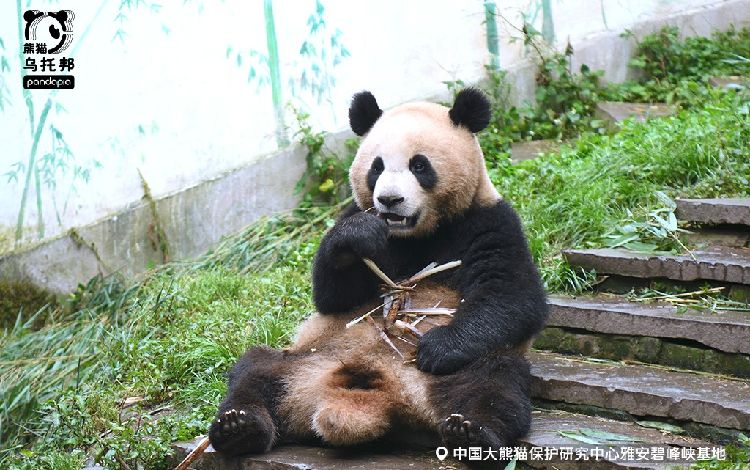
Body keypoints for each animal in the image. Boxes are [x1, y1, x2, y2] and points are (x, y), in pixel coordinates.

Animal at [208, 88, 549, 461]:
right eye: (377, 167)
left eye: (419, 165)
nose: (389, 200)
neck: (414, 234)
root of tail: (380, 395)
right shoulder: (357, 213)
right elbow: (333, 295)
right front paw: (359, 236)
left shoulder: (487, 221)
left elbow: (512, 296)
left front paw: (437, 347)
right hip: (307, 358)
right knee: (255, 371)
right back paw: (239, 428)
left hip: (455, 371)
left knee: (494, 382)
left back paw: (472, 433)